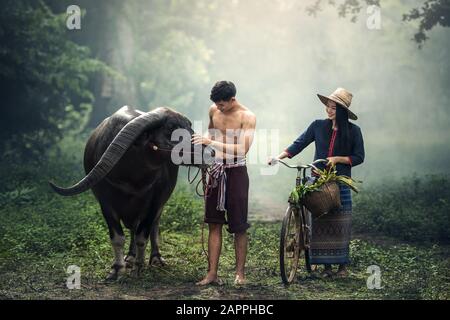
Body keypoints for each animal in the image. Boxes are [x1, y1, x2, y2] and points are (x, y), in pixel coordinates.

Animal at [50, 105, 212, 280]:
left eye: (189, 125)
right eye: (171, 128)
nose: (210, 153)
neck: (130, 173)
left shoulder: (154, 202)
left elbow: (143, 236)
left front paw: (138, 268)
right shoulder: (104, 202)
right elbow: (118, 237)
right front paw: (117, 268)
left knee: (154, 225)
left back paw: (155, 258)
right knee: (133, 228)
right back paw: (130, 256)